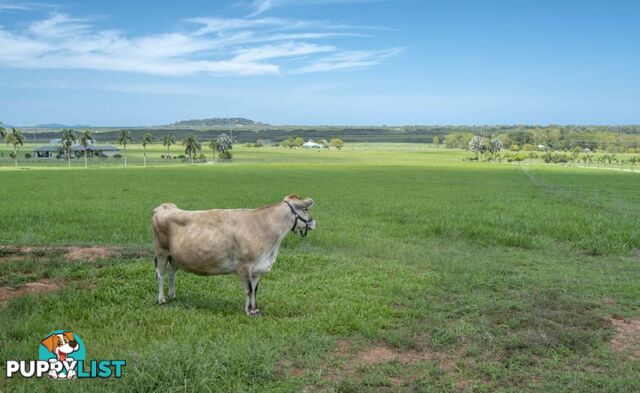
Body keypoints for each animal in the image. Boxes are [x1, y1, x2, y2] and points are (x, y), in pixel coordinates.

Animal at [150, 194, 316, 316]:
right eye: (306, 209)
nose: (313, 222)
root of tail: (165, 206)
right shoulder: (244, 265)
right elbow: (248, 290)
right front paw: (248, 312)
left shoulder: (257, 268)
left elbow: (255, 290)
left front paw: (255, 309)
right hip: (161, 252)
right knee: (161, 275)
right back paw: (161, 299)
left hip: (174, 257)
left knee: (172, 274)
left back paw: (172, 295)